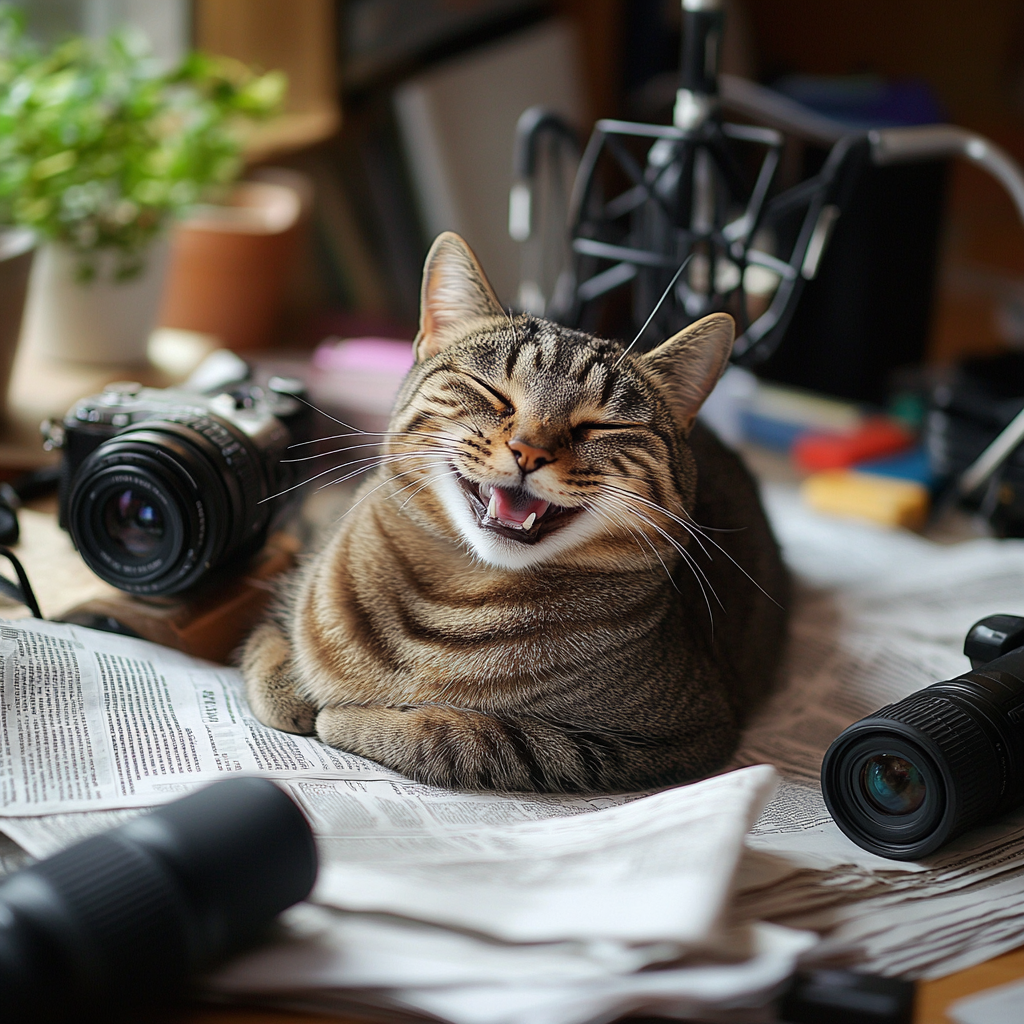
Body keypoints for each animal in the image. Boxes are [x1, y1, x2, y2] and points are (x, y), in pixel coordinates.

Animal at [241, 230, 790, 790]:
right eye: (493, 393)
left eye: (600, 426)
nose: (529, 451)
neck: (454, 594)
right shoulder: (295, 581)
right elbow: (273, 638)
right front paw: (293, 682)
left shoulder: (673, 738)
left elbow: (467, 736)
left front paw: (353, 717)